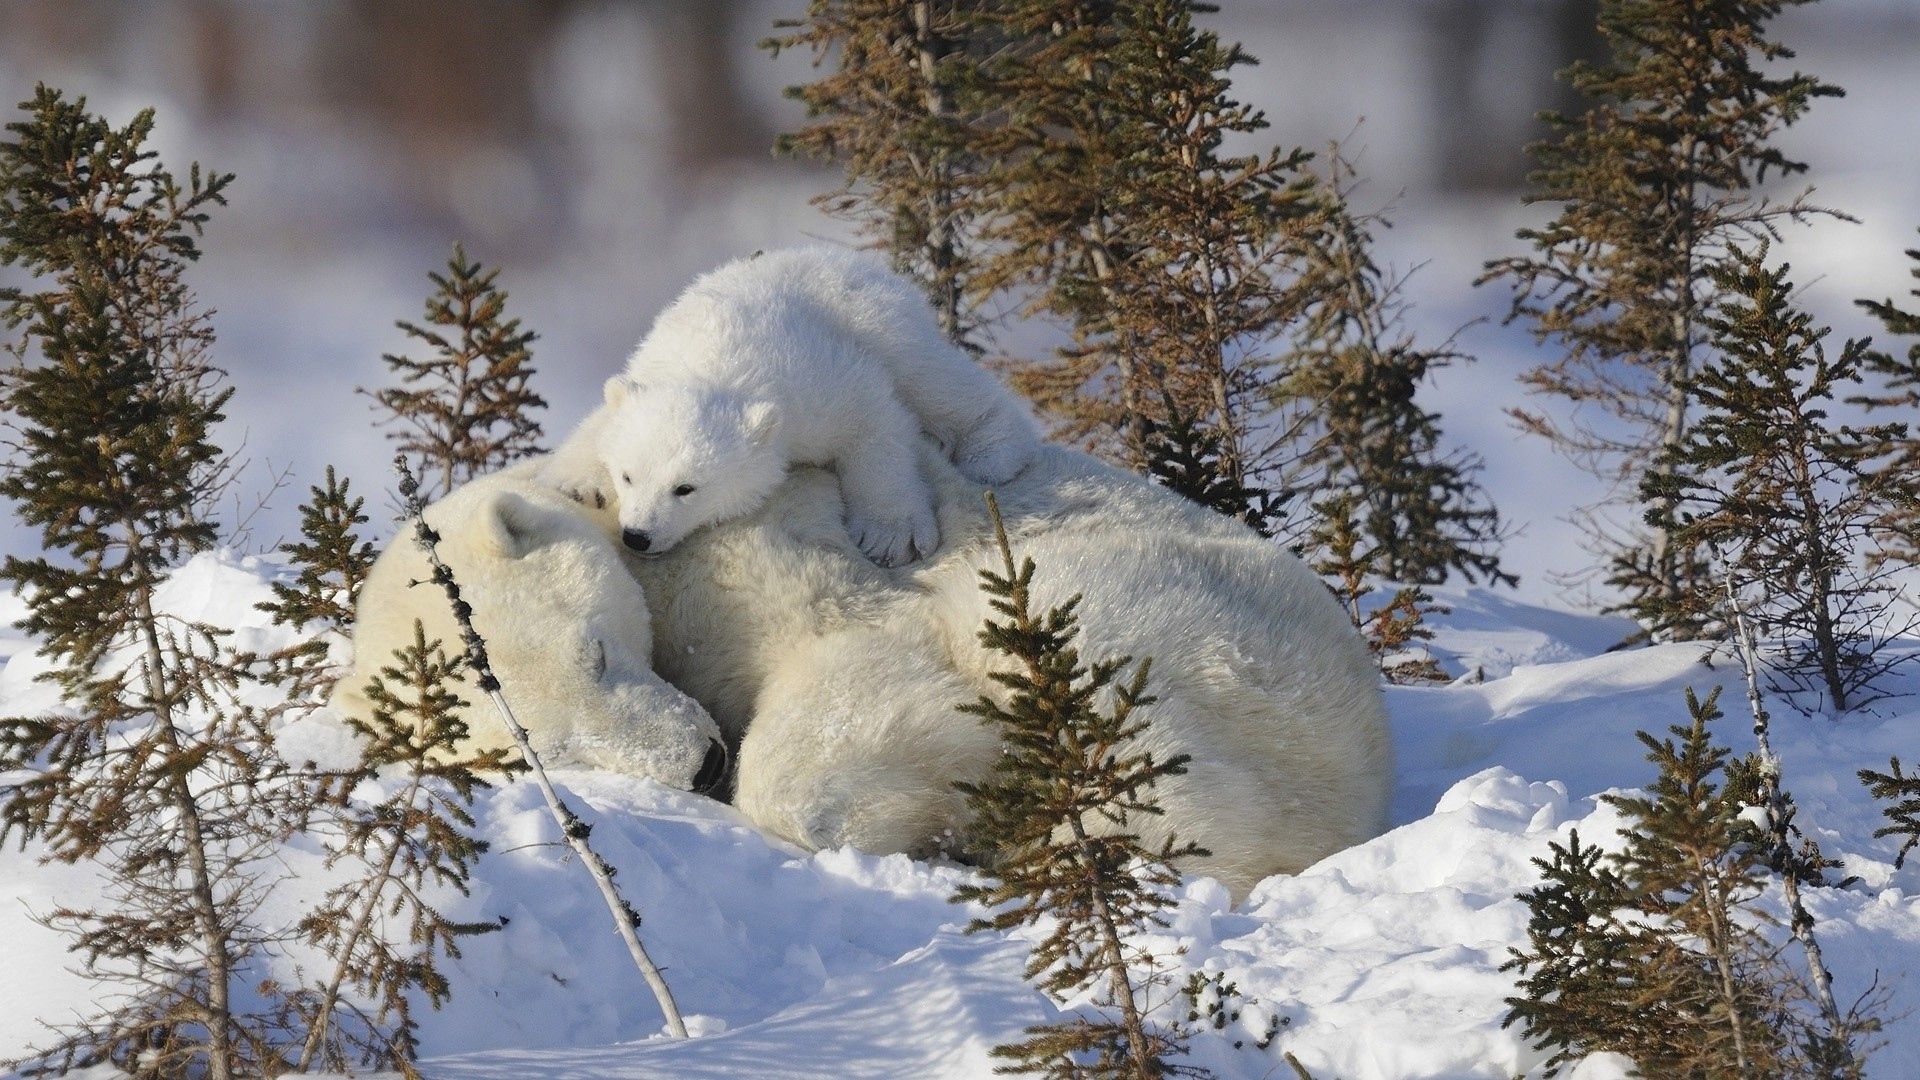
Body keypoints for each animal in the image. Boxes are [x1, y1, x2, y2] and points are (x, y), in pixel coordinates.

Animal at [541, 244, 1044, 564]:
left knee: (935, 380)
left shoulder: (817, 384)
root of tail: (864, 266)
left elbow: (873, 421)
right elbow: (604, 420)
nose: (637, 537)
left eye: (686, 487)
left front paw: (889, 535)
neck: (715, 362)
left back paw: (992, 452)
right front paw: (580, 480)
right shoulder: (653, 361)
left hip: (881, 322)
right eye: (628, 475)